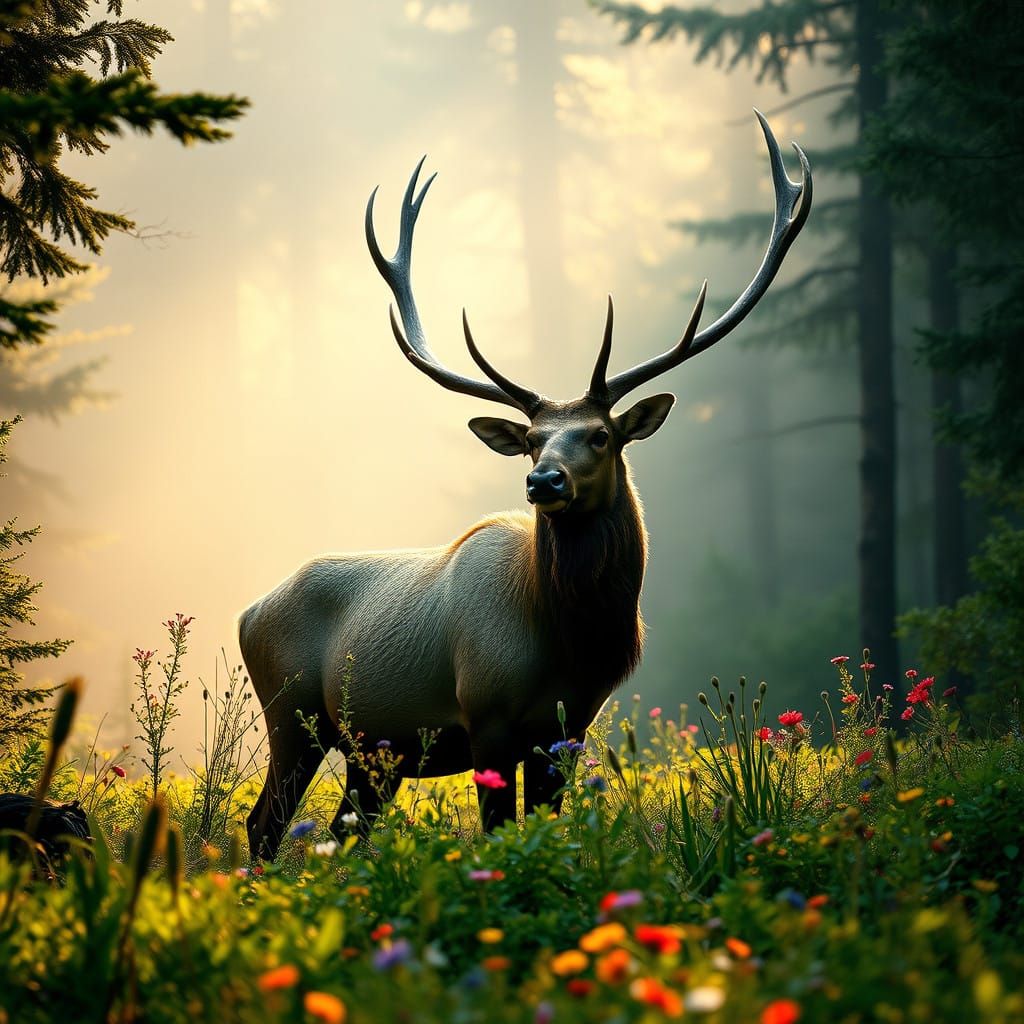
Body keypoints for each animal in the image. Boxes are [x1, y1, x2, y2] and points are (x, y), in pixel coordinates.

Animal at [241, 112, 811, 861]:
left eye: (600, 435)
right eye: (536, 438)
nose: (543, 479)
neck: (569, 641)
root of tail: (247, 613)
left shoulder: (567, 728)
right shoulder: (485, 716)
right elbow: (497, 833)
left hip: (373, 752)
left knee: (342, 826)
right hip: (293, 716)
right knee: (263, 823)